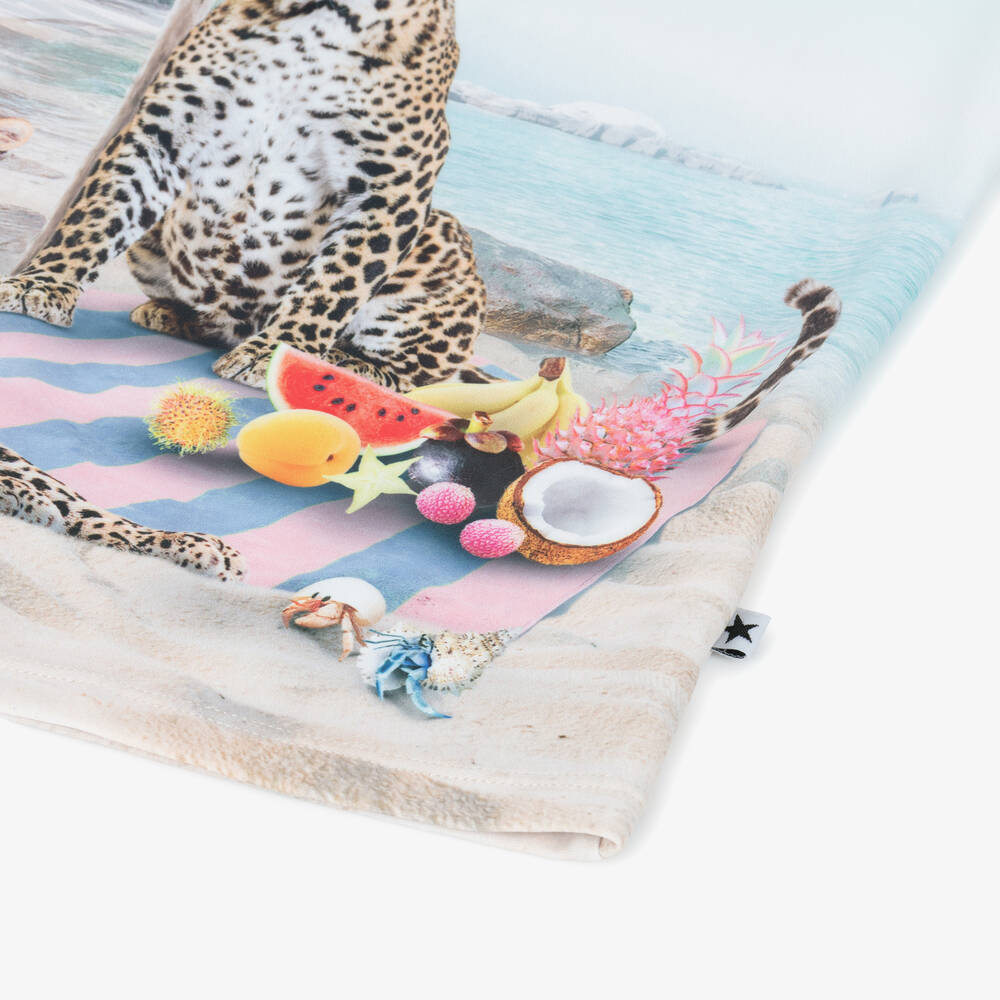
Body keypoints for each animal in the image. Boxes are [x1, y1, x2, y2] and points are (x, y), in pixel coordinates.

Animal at [0, 0, 482, 576]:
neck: (316, 27)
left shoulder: (392, 184)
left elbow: (336, 279)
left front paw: (276, 351)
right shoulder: (162, 131)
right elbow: (95, 211)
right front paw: (41, 285)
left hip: (443, 243)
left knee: (420, 373)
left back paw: (346, 364)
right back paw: (171, 318)